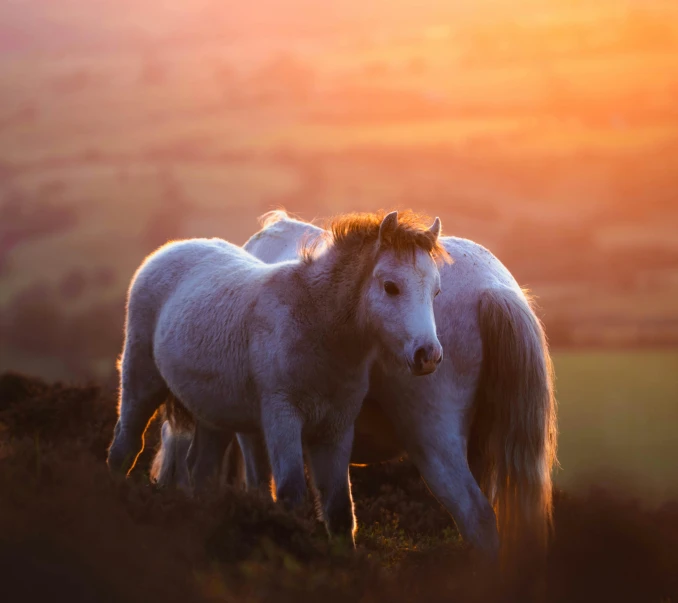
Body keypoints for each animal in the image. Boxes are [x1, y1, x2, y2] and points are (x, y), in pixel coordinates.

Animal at [109, 211, 448, 544]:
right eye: (391, 286)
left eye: (436, 291)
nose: (428, 355)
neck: (314, 321)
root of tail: (164, 253)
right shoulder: (282, 418)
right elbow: (290, 493)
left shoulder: (335, 429)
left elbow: (339, 509)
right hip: (141, 381)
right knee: (125, 447)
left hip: (212, 415)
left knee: (200, 469)